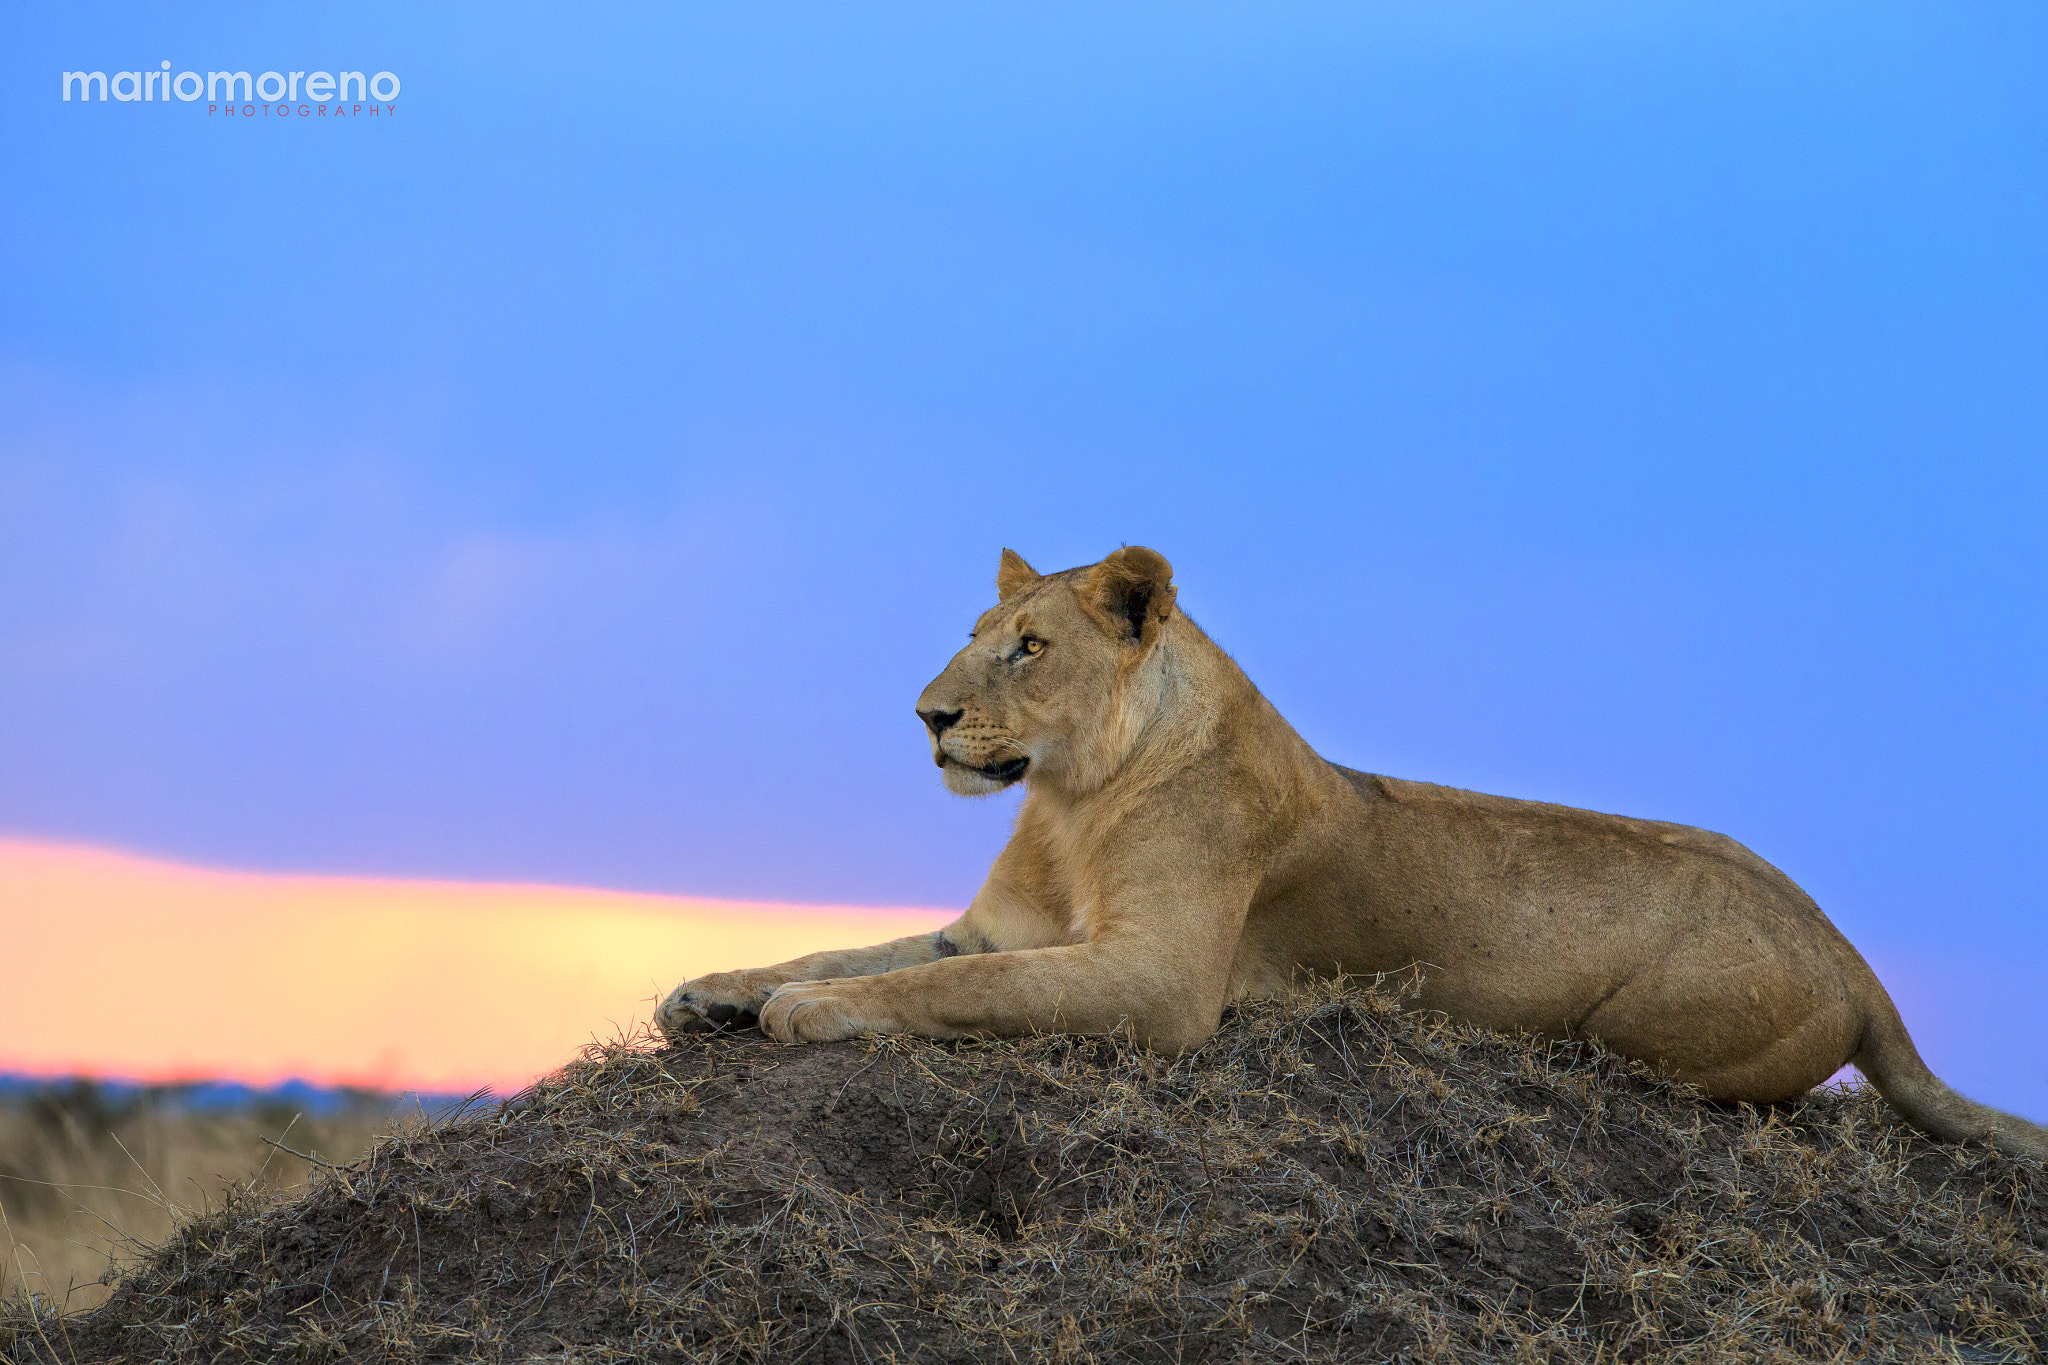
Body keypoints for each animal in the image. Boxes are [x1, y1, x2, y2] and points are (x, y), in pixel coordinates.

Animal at [659, 544, 2048, 1154]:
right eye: (970, 635)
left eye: (1028, 648)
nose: (926, 717)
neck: (1067, 801)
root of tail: (1860, 963)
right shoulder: (991, 924)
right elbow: (855, 947)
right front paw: (711, 989)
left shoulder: (1161, 986)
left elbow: (956, 988)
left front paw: (807, 1015)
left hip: (1649, 1029)